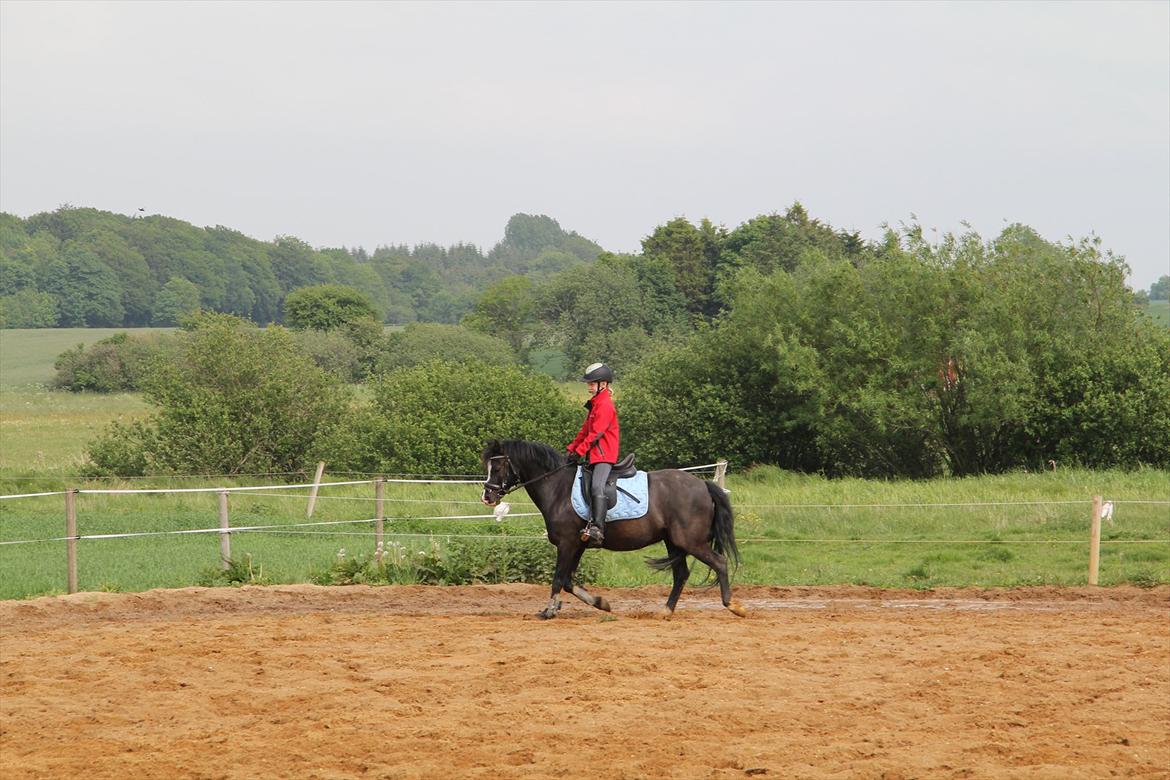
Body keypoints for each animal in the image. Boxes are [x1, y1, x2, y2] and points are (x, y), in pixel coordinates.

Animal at [479, 439, 744, 622]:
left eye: (498, 466)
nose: (487, 497)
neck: (557, 488)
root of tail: (703, 485)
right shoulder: (577, 545)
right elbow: (568, 581)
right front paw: (601, 603)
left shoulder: (567, 544)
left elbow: (558, 580)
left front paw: (549, 611)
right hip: (674, 542)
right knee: (681, 574)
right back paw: (666, 611)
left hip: (690, 541)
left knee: (719, 563)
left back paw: (733, 606)